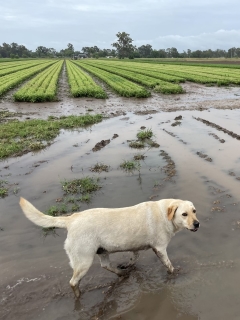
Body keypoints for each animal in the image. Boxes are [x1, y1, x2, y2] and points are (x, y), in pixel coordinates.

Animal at [18, 196, 200, 298]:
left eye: (194, 211)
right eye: (184, 214)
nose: (197, 224)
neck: (165, 214)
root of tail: (71, 219)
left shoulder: (136, 245)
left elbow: (134, 256)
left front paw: (128, 265)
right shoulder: (160, 248)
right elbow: (169, 265)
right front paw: (175, 274)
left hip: (102, 251)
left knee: (105, 265)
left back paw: (122, 273)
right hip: (83, 261)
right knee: (73, 282)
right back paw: (78, 295)